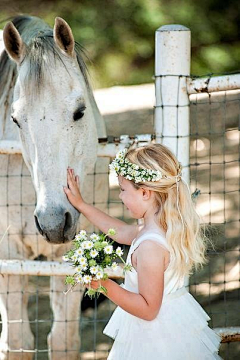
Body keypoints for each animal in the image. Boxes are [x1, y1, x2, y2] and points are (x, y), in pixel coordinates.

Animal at [0, 15, 108, 358]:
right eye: (15, 119)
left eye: (80, 112)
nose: (52, 222)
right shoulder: (8, 256)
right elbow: (17, 343)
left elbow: (63, 341)